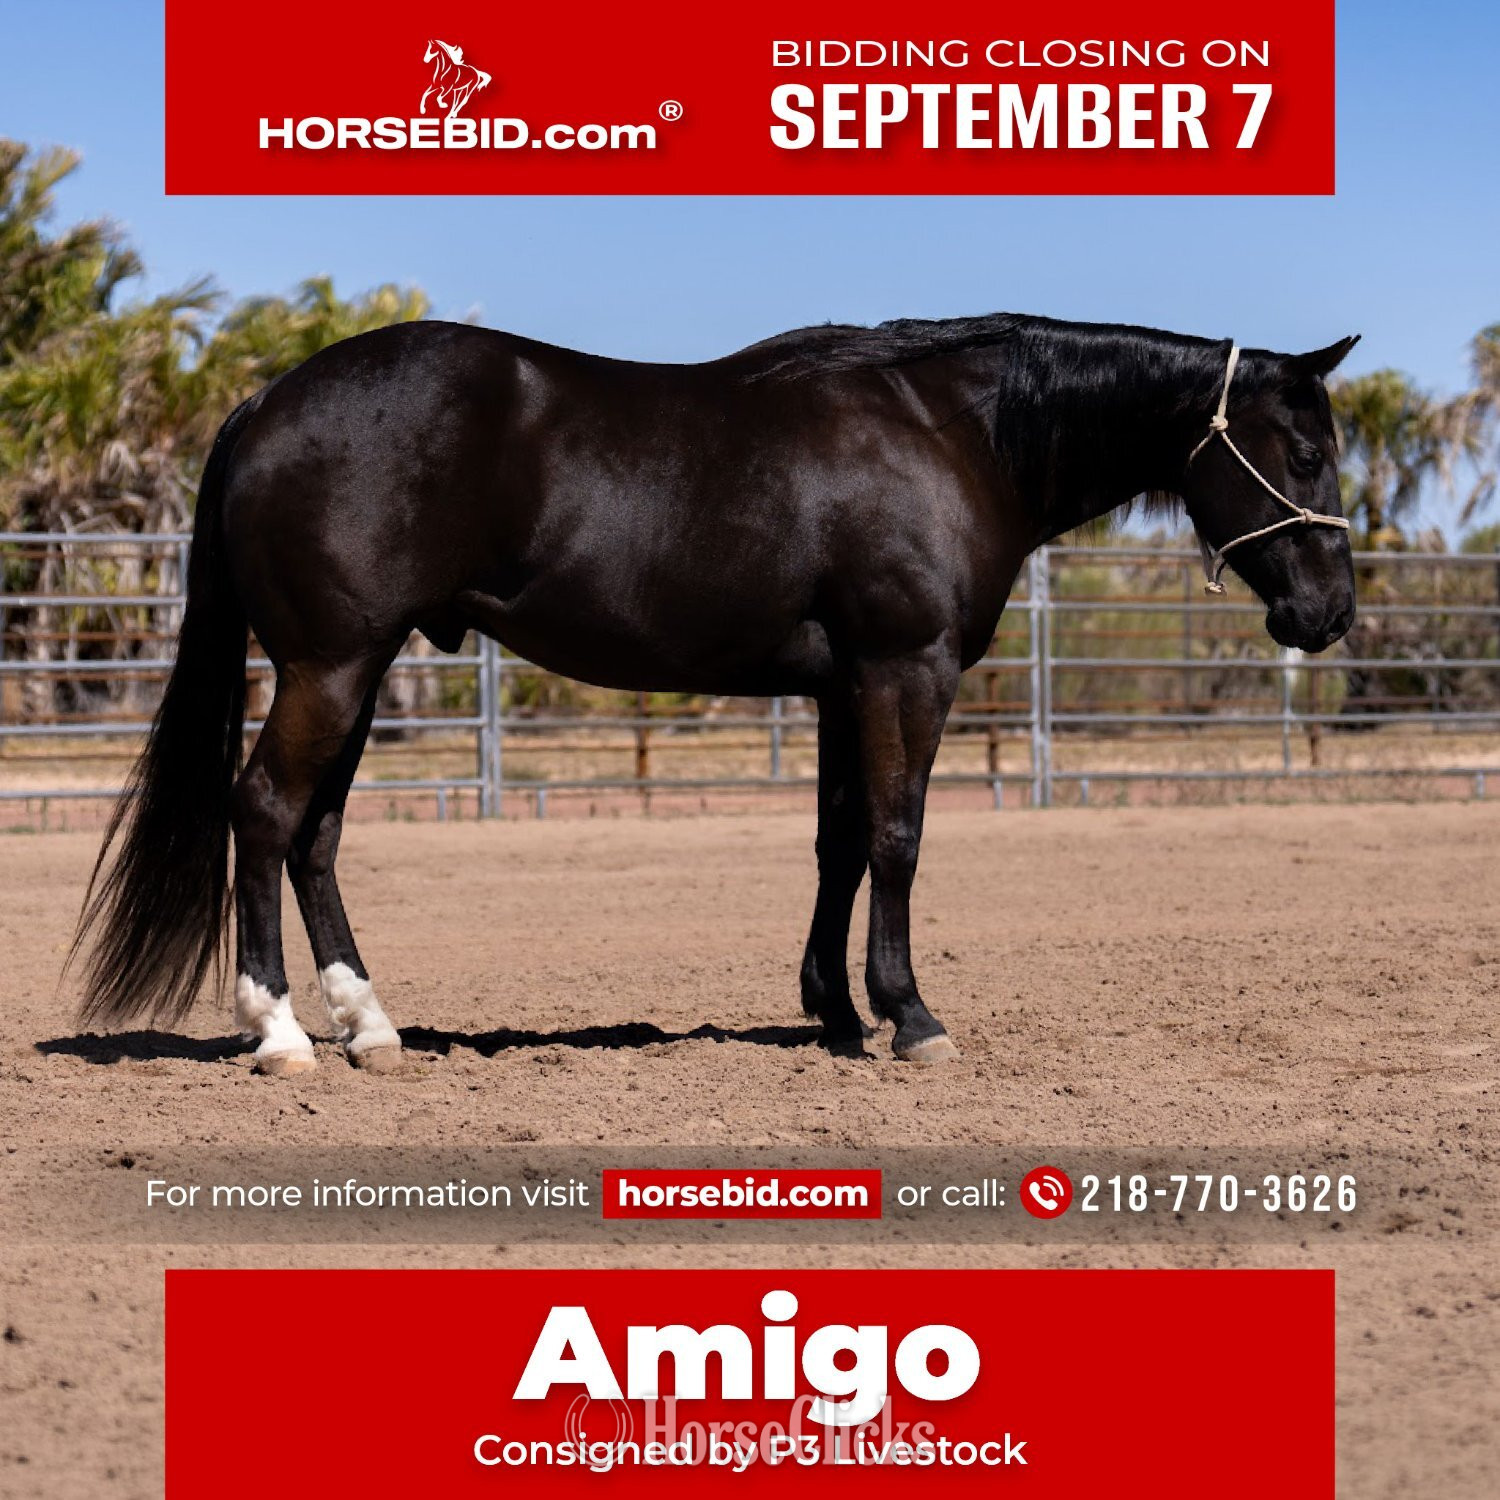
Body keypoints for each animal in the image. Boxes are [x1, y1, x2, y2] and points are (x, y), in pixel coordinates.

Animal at [70, 312, 1358, 1072]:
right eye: (1303, 455)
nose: (1331, 615)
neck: (948, 435)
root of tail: (265, 402)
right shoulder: (907, 669)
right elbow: (898, 839)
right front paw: (911, 1017)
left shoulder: (844, 685)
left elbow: (840, 843)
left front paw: (835, 1009)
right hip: (329, 666)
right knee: (265, 814)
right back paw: (282, 1034)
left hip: (358, 667)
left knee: (318, 832)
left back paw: (370, 1027)